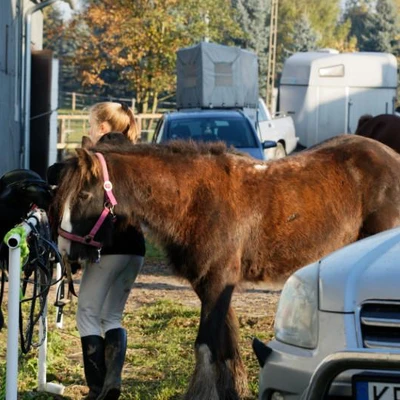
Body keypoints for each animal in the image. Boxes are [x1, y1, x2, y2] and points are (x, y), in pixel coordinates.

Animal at [50, 135, 400, 400]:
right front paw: (233, 390)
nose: (67, 253)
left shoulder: (219, 280)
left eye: (83, 194)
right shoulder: (211, 283)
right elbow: (226, 343)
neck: (194, 198)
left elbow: (206, 345)